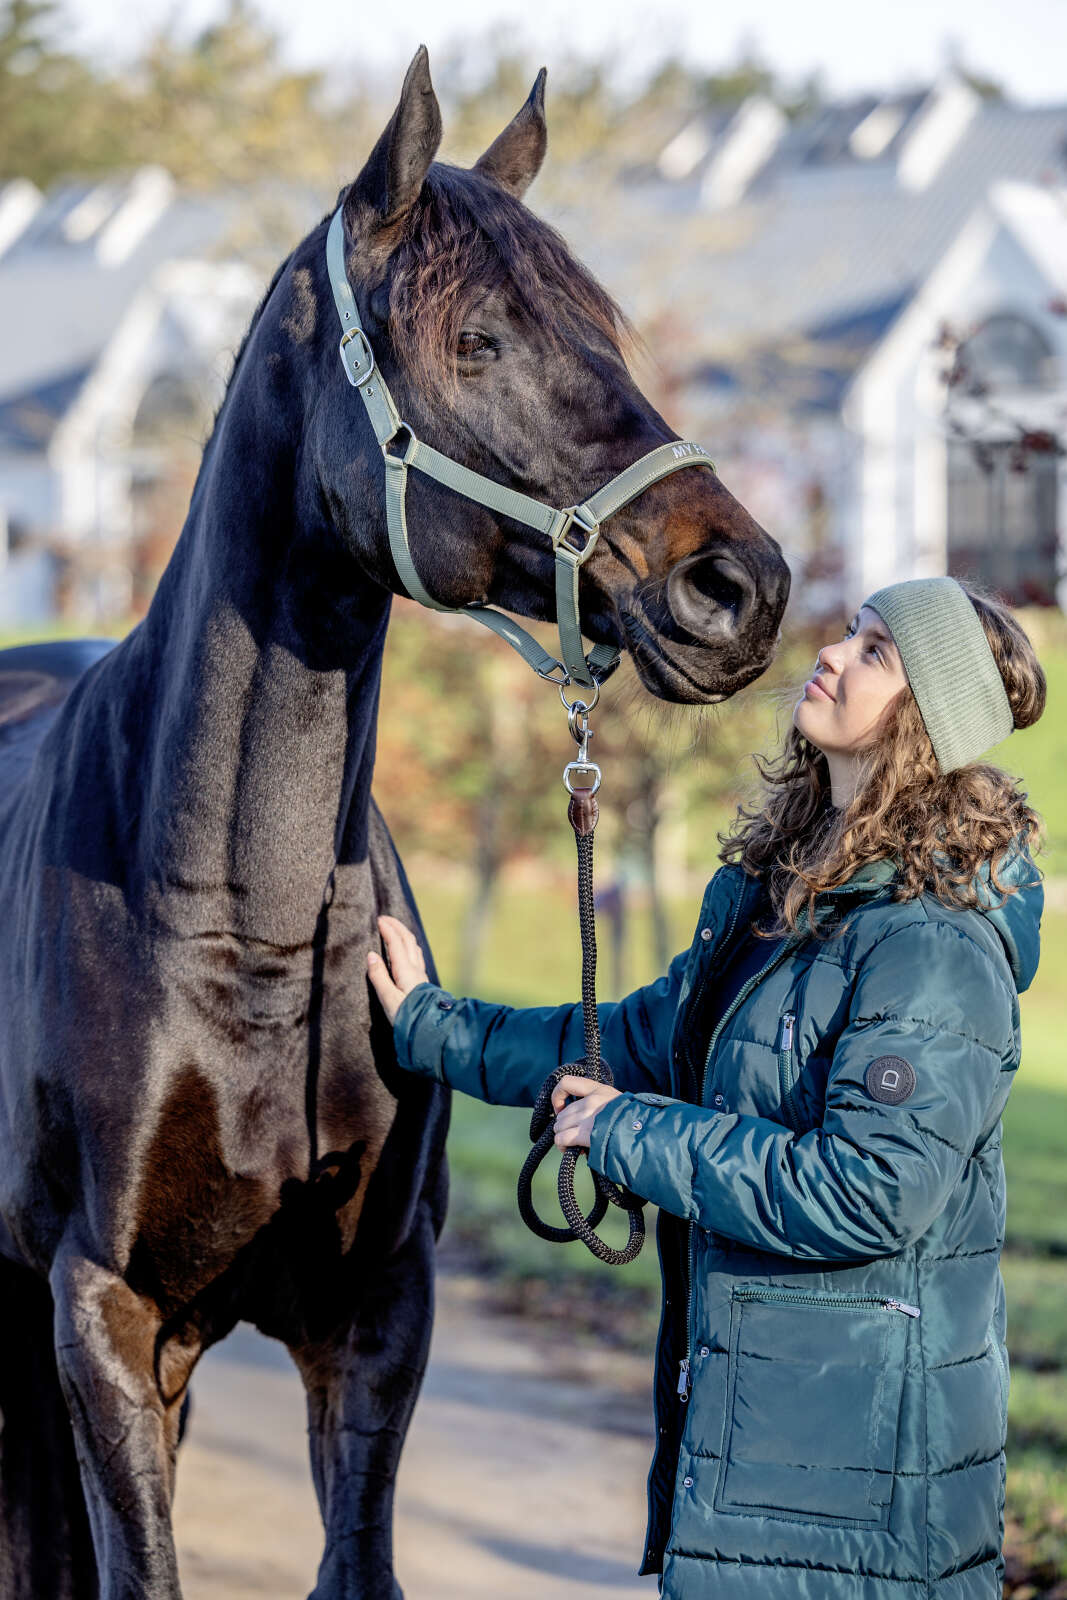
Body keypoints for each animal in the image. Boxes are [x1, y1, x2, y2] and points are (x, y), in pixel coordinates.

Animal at [0, 47, 790, 1600]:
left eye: (609, 329)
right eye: (477, 338)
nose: (738, 585)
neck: (233, 925)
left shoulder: (372, 1313)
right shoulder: (103, 1313)